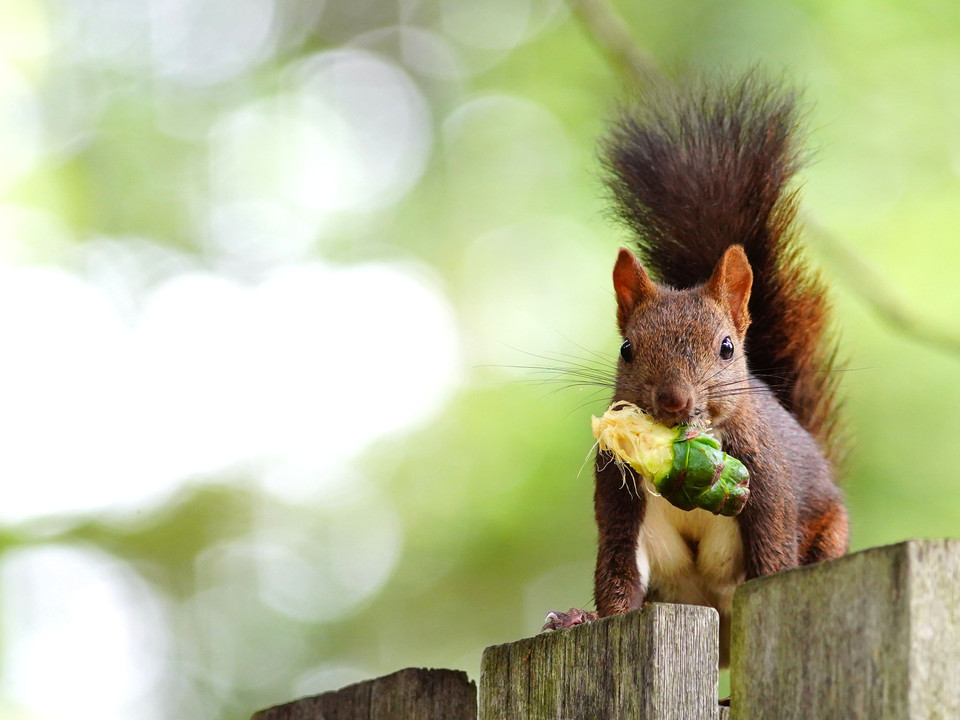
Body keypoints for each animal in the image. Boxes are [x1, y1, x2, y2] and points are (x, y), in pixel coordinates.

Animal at [544, 73, 852, 664]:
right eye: (627, 349)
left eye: (727, 347)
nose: (674, 402)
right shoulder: (617, 496)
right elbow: (617, 573)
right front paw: (581, 618)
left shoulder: (769, 482)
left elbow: (772, 557)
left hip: (830, 530)